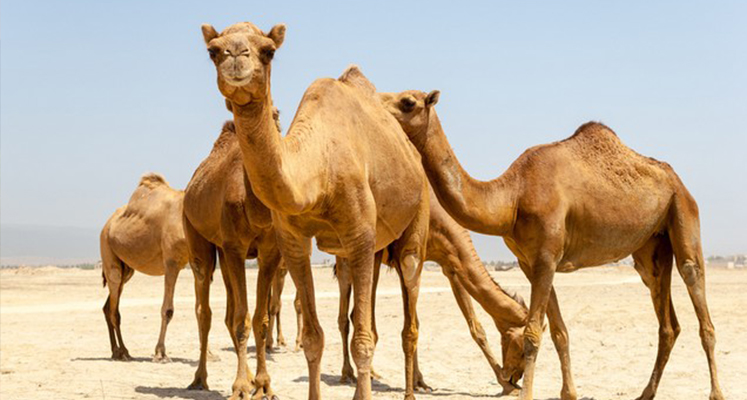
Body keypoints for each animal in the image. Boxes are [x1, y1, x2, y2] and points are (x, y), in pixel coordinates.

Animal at [100, 173, 189, 363]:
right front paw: (160, 353)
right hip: (107, 250)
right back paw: (123, 352)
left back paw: (116, 351)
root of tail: (106, 225)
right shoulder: (171, 262)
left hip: (127, 270)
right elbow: (167, 310)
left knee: (108, 306)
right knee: (114, 309)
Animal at [201, 21, 430, 400]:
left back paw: (411, 391)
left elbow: (363, 340)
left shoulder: (359, 234)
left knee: (409, 299)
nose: (235, 56)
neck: (318, 167)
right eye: (213, 50)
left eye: (268, 50)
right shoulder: (293, 241)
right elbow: (313, 338)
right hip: (369, 248)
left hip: (416, 218)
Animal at [334, 187, 529, 395]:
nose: (515, 376)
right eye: (522, 349)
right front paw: (507, 385)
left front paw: (419, 382)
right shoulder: (404, 258)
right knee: (346, 315)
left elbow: (474, 327)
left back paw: (371, 373)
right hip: (346, 257)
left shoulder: (450, 263)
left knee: (355, 314)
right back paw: (348, 374)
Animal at [379, 89, 725, 400]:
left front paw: (527, 393)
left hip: (683, 212)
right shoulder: (532, 262)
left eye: (408, 102)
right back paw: (645, 394)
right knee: (667, 323)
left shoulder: (546, 256)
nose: (510, 376)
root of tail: (678, 181)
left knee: (700, 304)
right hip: (651, 250)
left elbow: (534, 333)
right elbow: (558, 331)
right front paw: (568, 393)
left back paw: (715, 393)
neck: (513, 196)